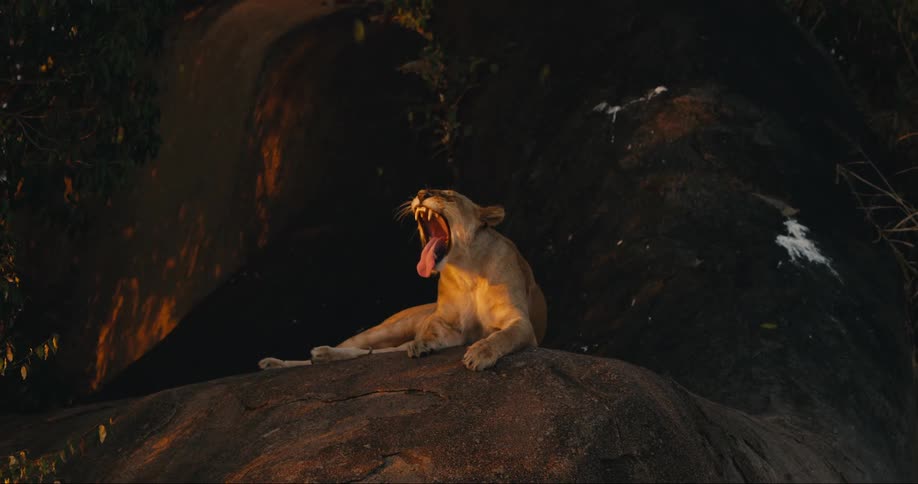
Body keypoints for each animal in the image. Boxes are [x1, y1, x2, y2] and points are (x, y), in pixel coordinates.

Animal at [258, 189, 547, 371]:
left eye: (449, 196)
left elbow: (502, 336)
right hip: (386, 330)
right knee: (361, 348)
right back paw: (284, 361)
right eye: (425, 191)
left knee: (371, 354)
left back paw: (320, 357)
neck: (468, 272)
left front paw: (479, 353)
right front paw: (423, 344)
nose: (421, 193)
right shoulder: (447, 324)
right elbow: (432, 330)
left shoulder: (520, 323)